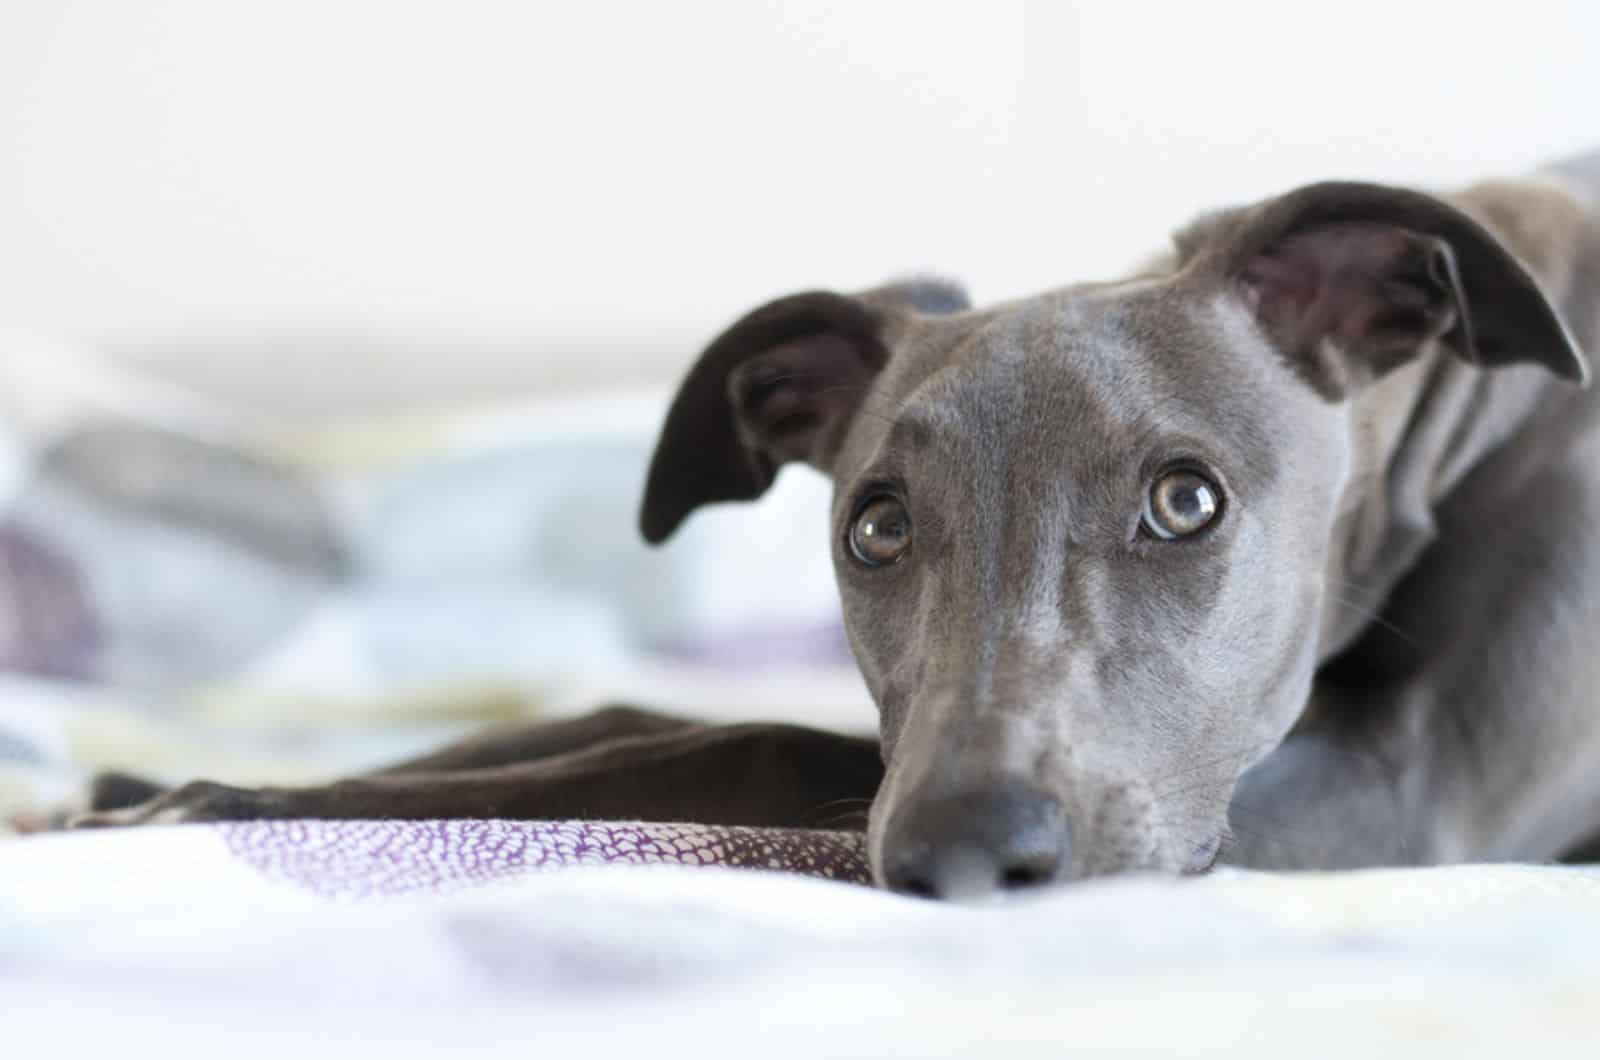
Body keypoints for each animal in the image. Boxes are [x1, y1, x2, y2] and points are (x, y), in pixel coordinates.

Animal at [78, 149, 1600, 903]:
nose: (969, 854)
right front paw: (157, 780)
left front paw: (213, 799)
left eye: (1186, 500)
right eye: (874, 527)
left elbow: (749, 745)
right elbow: (639, 717)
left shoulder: (1394, 795)